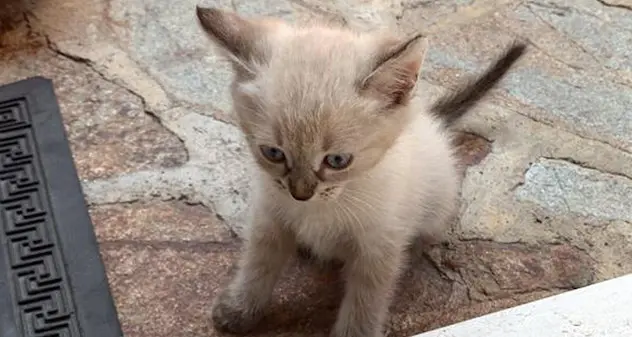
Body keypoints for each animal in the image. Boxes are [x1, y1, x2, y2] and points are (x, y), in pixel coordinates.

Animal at [195, 7, 524, 336]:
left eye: (337, 160)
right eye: (273, 153)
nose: (300, 193)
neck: (325, 207)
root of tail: (428, 119)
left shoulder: (378, 249)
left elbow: (365, 303)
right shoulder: (269, 217)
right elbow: (257, 266)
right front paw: (238, 310)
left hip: (435, 205)